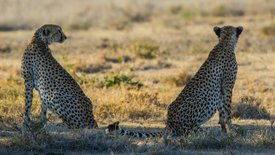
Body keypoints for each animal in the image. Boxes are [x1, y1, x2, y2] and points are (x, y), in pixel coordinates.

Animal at [106, 25, 245, 138]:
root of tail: (169, 124)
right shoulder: (227, 87)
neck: (224, 42)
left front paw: (224, 131)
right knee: (189, 131)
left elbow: (222, 112)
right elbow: (227, 111)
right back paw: (202, 131)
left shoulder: (221, 90)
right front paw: (232, 130)